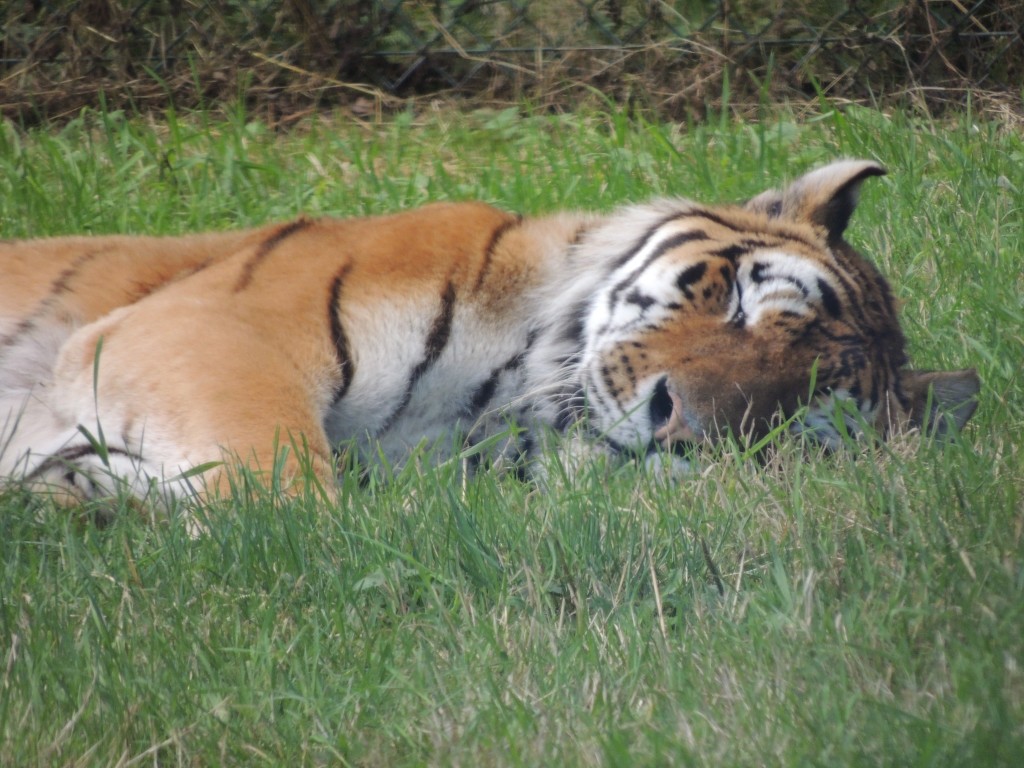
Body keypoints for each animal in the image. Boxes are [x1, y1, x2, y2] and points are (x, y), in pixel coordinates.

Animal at [0, 159, 978, 514]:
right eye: (741, 299)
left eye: (787, 421)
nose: (674, 423)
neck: (497, 405)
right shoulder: (213, 325)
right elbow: (281, 485)